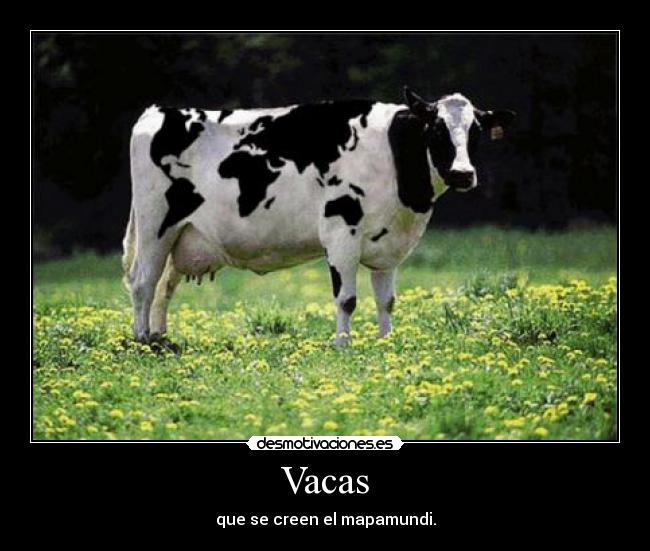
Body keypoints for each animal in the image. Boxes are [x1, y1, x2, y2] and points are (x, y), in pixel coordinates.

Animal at [122, 87, 515, 346]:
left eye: (476, 132)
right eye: (435, 129)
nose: (463, 174)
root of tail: (159, 111)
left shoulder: (388, 245)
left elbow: (386, 300)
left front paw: (386, 341)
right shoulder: (341, 233)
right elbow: (347, 298)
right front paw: (343, 344)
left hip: (182, 235)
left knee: (164, 286)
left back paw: (160, 337)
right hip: (155, 226)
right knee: (142, 282)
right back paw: (142, 340)